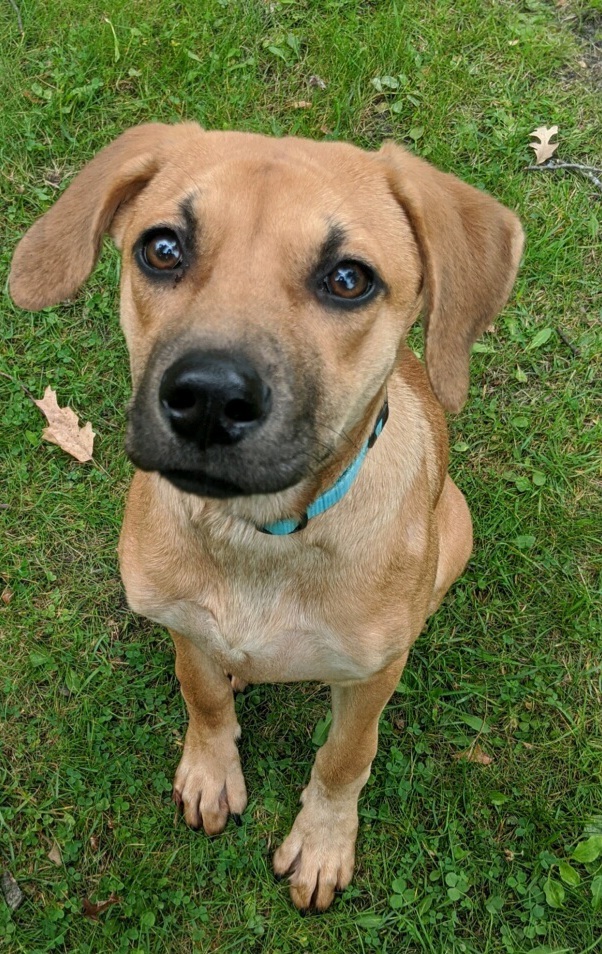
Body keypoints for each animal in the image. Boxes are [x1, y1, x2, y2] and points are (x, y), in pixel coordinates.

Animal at [9, 122, 520, 912]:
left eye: (349, 279)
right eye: (162, 247)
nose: (209, 398)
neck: (257, 536)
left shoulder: (369, 682)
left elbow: (346, 756)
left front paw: (323, 841)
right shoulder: (182, 621)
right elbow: (202, 696)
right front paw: (210, 770)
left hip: (457, 528)